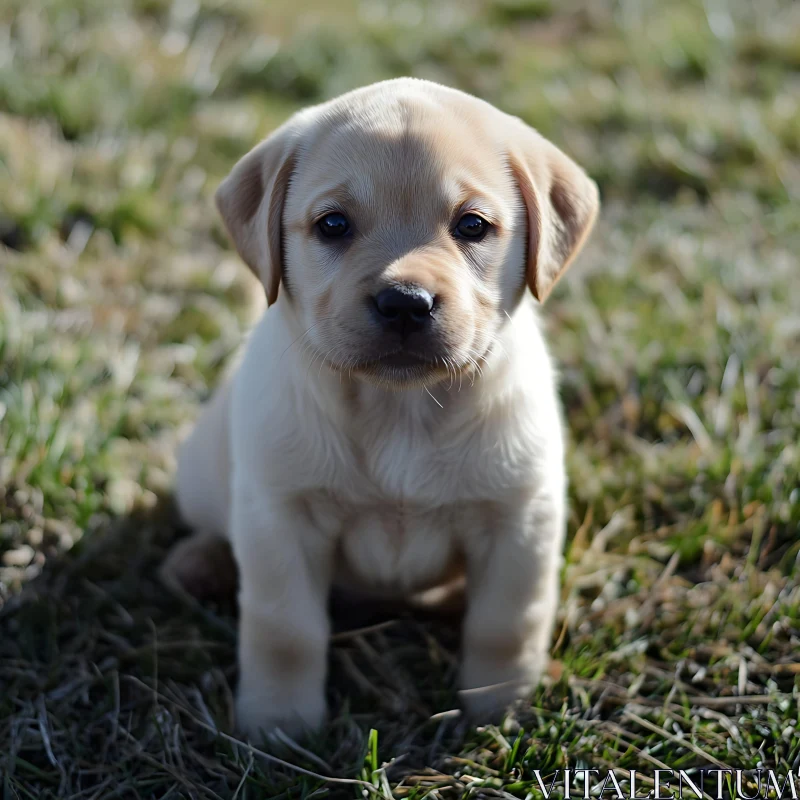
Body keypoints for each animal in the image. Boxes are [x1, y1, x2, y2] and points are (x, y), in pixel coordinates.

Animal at [164, 76, 600, 736]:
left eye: (472, 225)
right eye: (333, 224)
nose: (404, 303)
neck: (402, 409)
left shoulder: (521, 518)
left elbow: (506, 623)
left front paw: (500, 709)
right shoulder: (279, 519)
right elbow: (283, 628)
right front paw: (279, 724)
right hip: (202, 475)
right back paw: (199, 562)